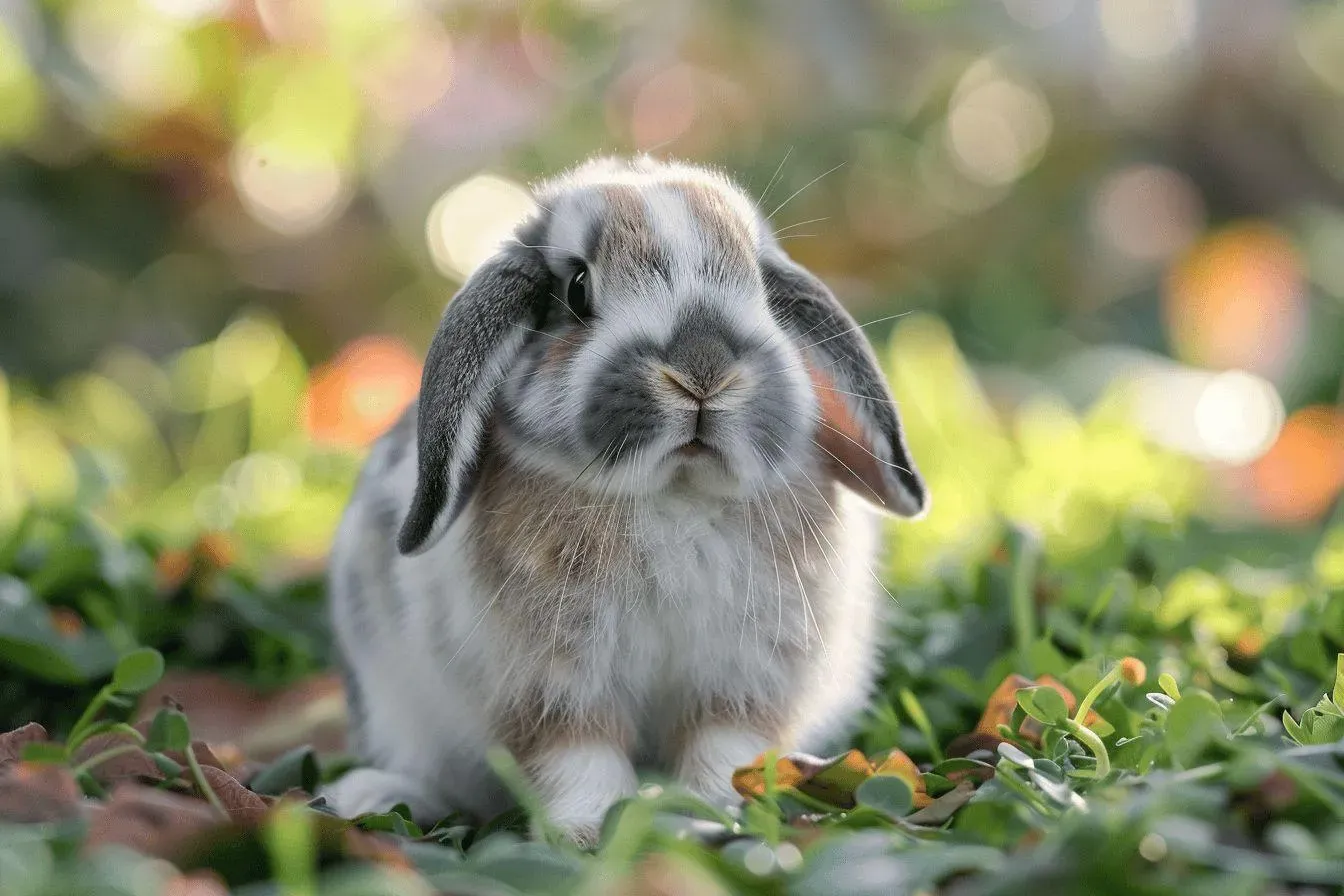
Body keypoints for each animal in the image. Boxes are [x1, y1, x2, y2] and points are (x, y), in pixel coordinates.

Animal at [321, 156, 927, 844]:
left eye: (764, 291)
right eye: (577, 290)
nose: (702, 367)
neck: (674, 493)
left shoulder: (743, 682)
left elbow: (724, 748)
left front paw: (716, 815)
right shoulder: (552, 689)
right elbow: (578, 758)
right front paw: (586, 833)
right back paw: (375, 794)